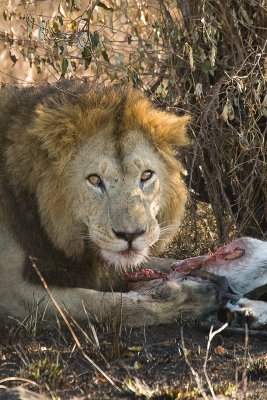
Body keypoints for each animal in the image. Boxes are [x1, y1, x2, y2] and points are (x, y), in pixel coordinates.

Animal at [0, 80, 224, 324]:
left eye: (146, 175)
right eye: (94, 179)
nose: (131, 235)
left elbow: (162, 262)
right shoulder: (11, 288)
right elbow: (106, 304)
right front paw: (190, 298)